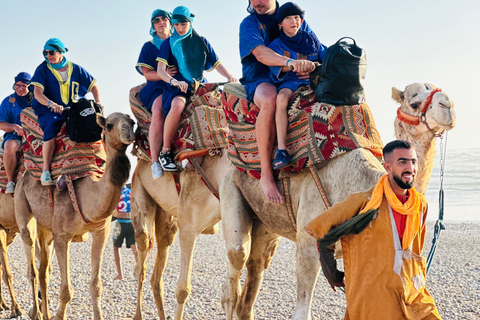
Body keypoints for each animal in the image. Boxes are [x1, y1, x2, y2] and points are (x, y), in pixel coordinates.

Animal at [14, 111, 135, 318]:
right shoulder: (62, 236)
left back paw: (44, 313)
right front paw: (58, 316)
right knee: (33, 267)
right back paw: (36, 312)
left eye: (132, 121)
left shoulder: (101, 232)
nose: (128, 132)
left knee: (44, 270)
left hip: (46, 229)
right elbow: (66, 291)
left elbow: (96, 287)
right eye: (109, 125)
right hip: (22, 205)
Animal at [130, 148, 230, 320]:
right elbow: (183, 290)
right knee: (141, 260)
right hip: (139, 189)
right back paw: (138, 315)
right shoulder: (189, 228)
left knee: (157, 274)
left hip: (168, 215)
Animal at [219, 83, 456, 320]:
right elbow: (302, 312)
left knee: (256, 268)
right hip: (230, 187)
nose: (448, 105)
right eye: (414, 103)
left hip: (265, 220)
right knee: (235, 270)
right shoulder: (308, 242)